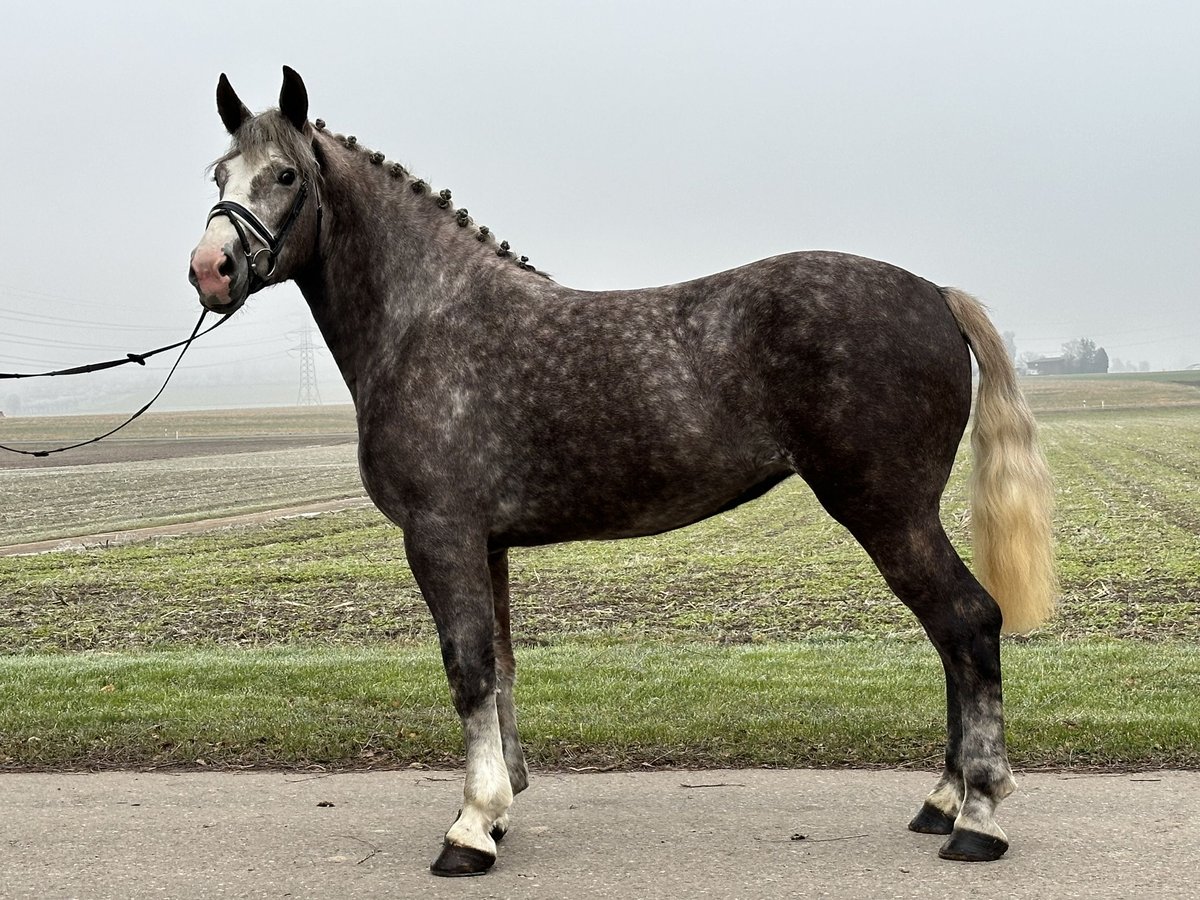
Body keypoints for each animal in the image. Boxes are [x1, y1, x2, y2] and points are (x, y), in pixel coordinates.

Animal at [184, 66, 1051, 878]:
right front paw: (500, 809)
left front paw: (469, 830)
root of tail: (933, 293)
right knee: (951, 638)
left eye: (284, 175)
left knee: (967, 623)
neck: (426, 320)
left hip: (887, 511)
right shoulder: (487, 545)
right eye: (218, 175)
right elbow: (501, 669)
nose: (210, 270)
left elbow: (467, 670)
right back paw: (942, 802)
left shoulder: (441, 535)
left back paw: (977, 818)